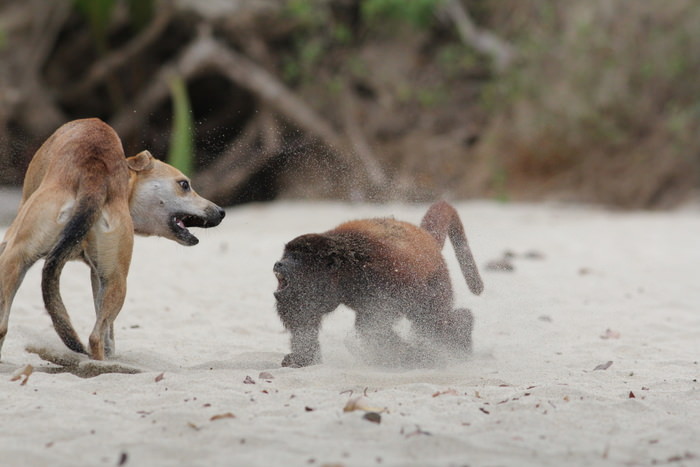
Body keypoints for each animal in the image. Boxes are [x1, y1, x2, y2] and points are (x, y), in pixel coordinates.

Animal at [0, 119, 224, 360]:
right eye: (184, 185)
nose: (221, 212)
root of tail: (93, 176)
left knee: (93, 337)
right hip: (111, 279)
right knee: (94, 336)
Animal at [270, 202, 484, 370]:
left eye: (296, 258)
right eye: (286, 255)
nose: (279, 263)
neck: (346, 269)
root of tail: (426, 238)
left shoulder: (385, 272)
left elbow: (377, 326)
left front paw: (415, 356)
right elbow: (304, 323)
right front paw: (302, 359)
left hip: (438, 277)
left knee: (434, 317)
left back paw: (462, 333)